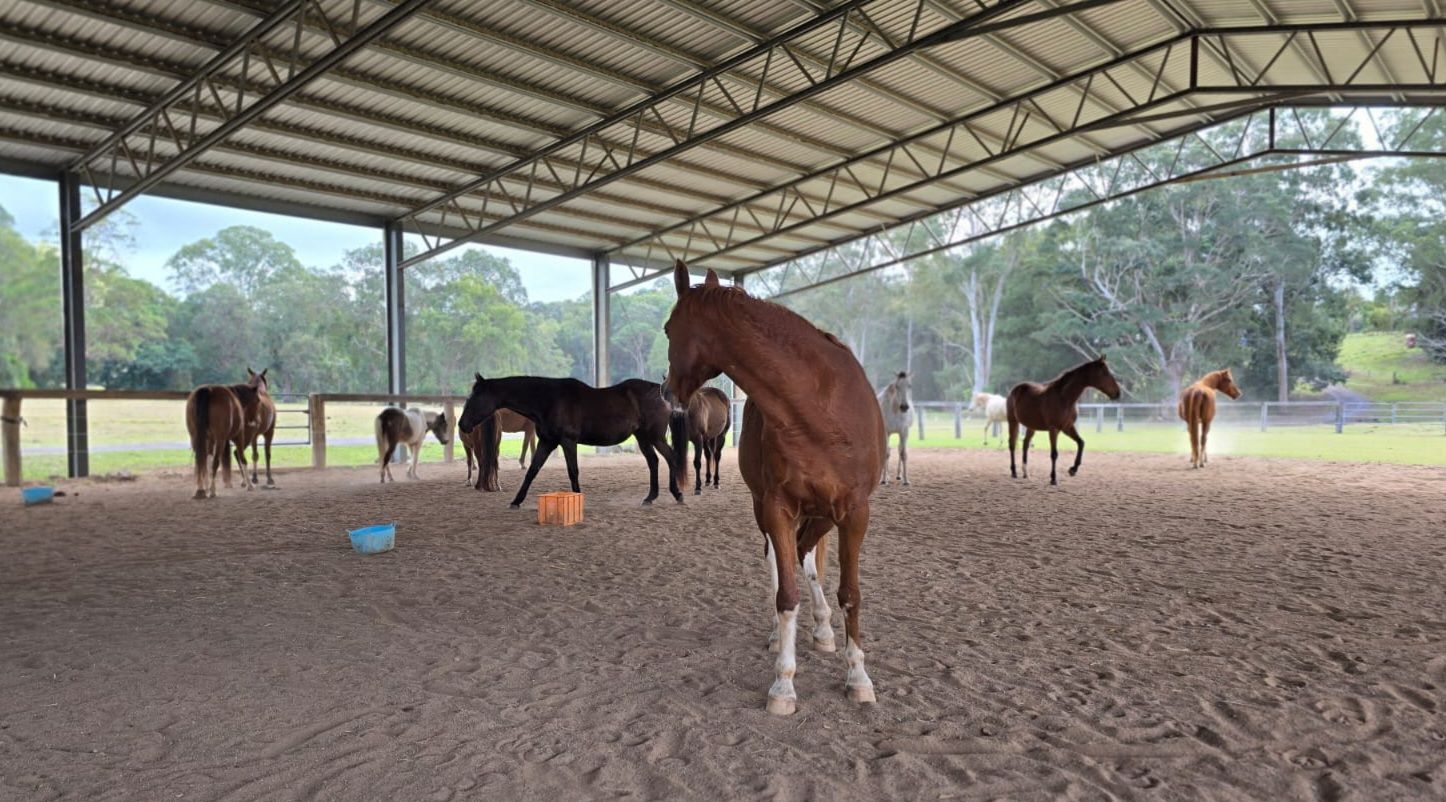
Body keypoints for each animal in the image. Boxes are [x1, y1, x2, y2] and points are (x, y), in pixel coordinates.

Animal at [457, 374, 686, 508]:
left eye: (474, 398)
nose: (462, 425)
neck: (549, 400)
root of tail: (662, 393)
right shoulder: (547, 442)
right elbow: (532, 470)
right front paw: (516, 501)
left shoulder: (568, 441)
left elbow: (573, 471)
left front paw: (577, 500)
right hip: (643, 437)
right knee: (654, 462)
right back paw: (650, 497)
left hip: (655, 436)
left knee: (671, 458)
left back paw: (678, 494)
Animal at [664, 261, 883, 716]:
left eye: (668, 328)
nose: (665, 391)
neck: (817, 407)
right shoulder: (777, 508)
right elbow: (786, 593)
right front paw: (783, 682)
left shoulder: (855, 512)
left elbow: (850, 593)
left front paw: (858, 676)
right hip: (768, 508)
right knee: (784, 562)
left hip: (823, 516)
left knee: (807, 556)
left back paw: (823, 631)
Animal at [1007, 355, 1122, 485]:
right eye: (1105, 373)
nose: (1117, 393)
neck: (1064, 398)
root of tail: (1015, 389)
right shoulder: (1054, 429)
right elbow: (1054, 454)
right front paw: (1053, 478)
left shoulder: (1067, 427)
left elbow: (1081, 442)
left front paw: (1073, 469)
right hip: (1013, 422)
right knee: (1012, 444)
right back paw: (1014, 472)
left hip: (1031, 426)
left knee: (1025, 443)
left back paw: (1026, 473)